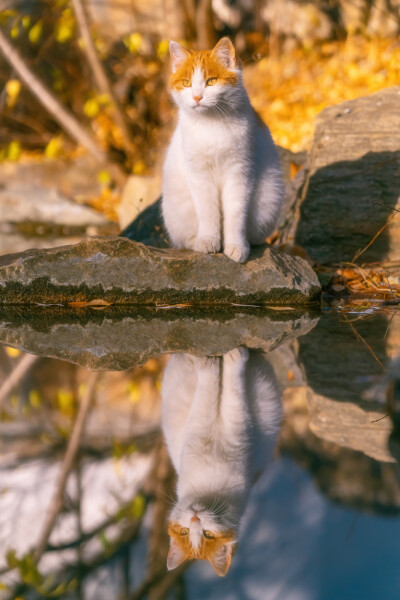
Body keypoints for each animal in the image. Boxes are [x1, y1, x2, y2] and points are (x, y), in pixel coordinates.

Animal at [160, 346, 282, 576]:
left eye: (207, 534)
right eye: (184, 531)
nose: (195, 518)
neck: (207, 487)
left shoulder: (233, 426)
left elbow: (227, 392)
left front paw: (229, 361)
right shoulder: (205, 425)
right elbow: (213, 392)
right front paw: (213, 364)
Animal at [161, 37, 282, 262]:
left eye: (211, 81)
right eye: (187, 83)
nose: (197, 97)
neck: (211, 125)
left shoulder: (239, 173)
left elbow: (235, 214)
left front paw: (236, 246)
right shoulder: (199, 175)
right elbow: (208, 211)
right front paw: (208, 241)